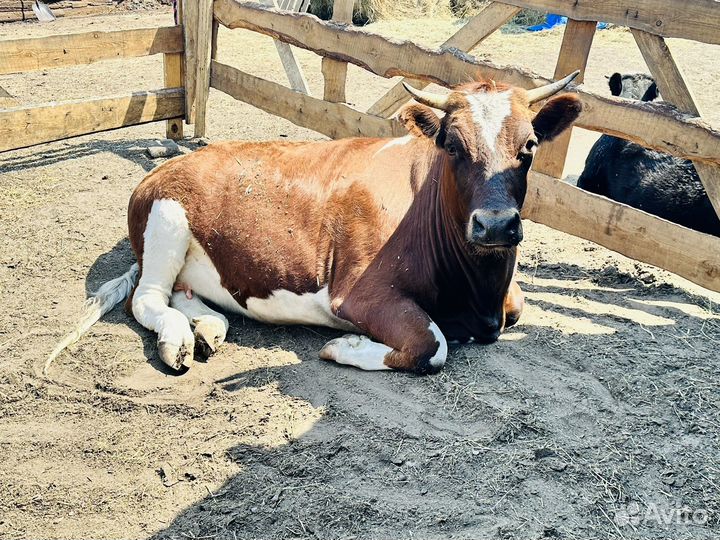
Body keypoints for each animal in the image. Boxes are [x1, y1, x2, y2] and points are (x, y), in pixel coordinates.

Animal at [46, 72, 581, 375]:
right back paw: (177, 338)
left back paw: (209, 328)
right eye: (452, 144)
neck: (477, 295)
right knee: (146, 299)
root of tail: (171, 162)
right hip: (166, 221)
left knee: (186, 293)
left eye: (530, 145)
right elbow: (431, 345)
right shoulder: (361, 294)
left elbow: (517, 307)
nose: (495, 225)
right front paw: (345, 347)